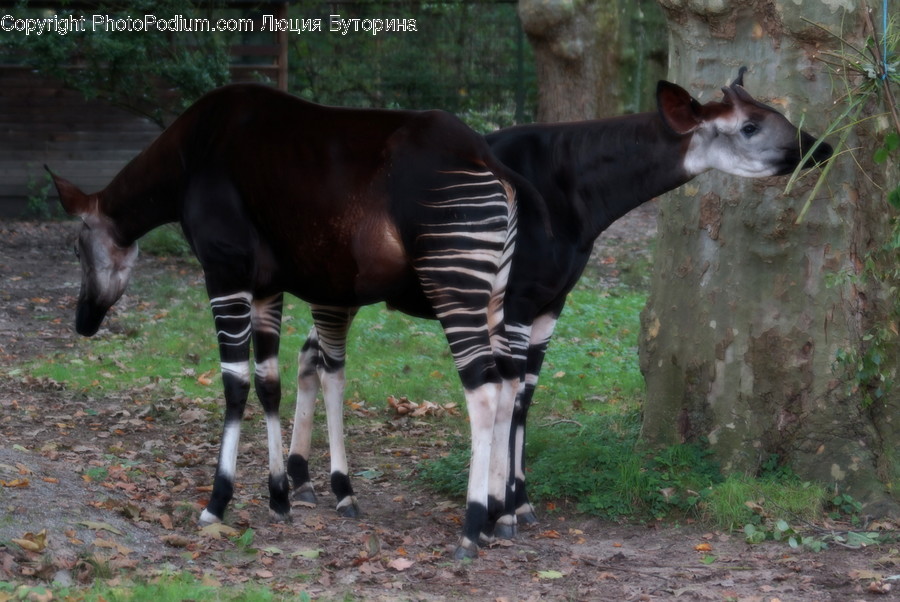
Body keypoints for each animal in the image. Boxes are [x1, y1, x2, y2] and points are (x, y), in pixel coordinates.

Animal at [49, 83, 545, 560]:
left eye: (75, 250)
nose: (83, 322)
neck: (188, 156)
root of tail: (485, 156)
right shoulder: (267, 286)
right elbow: (270, 382)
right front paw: (279, 497)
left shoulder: (225, 272)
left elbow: (234, 382)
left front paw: (218, 502)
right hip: (495, 292)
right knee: (507, 380)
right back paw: (498, 517)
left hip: (451, 280)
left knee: (482, 387)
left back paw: (470, 529)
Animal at [289, 69, 833, 537]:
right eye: (750, 126)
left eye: (773, 113)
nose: (822, 147)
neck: (572, 189)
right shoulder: (515, 300)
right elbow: (508, 392)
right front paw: (500, 513)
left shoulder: (551, 303)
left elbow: (526, 395)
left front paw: (521, 504)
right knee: (321, 359)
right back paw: (334, 490)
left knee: (309, 355)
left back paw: (300, 482)